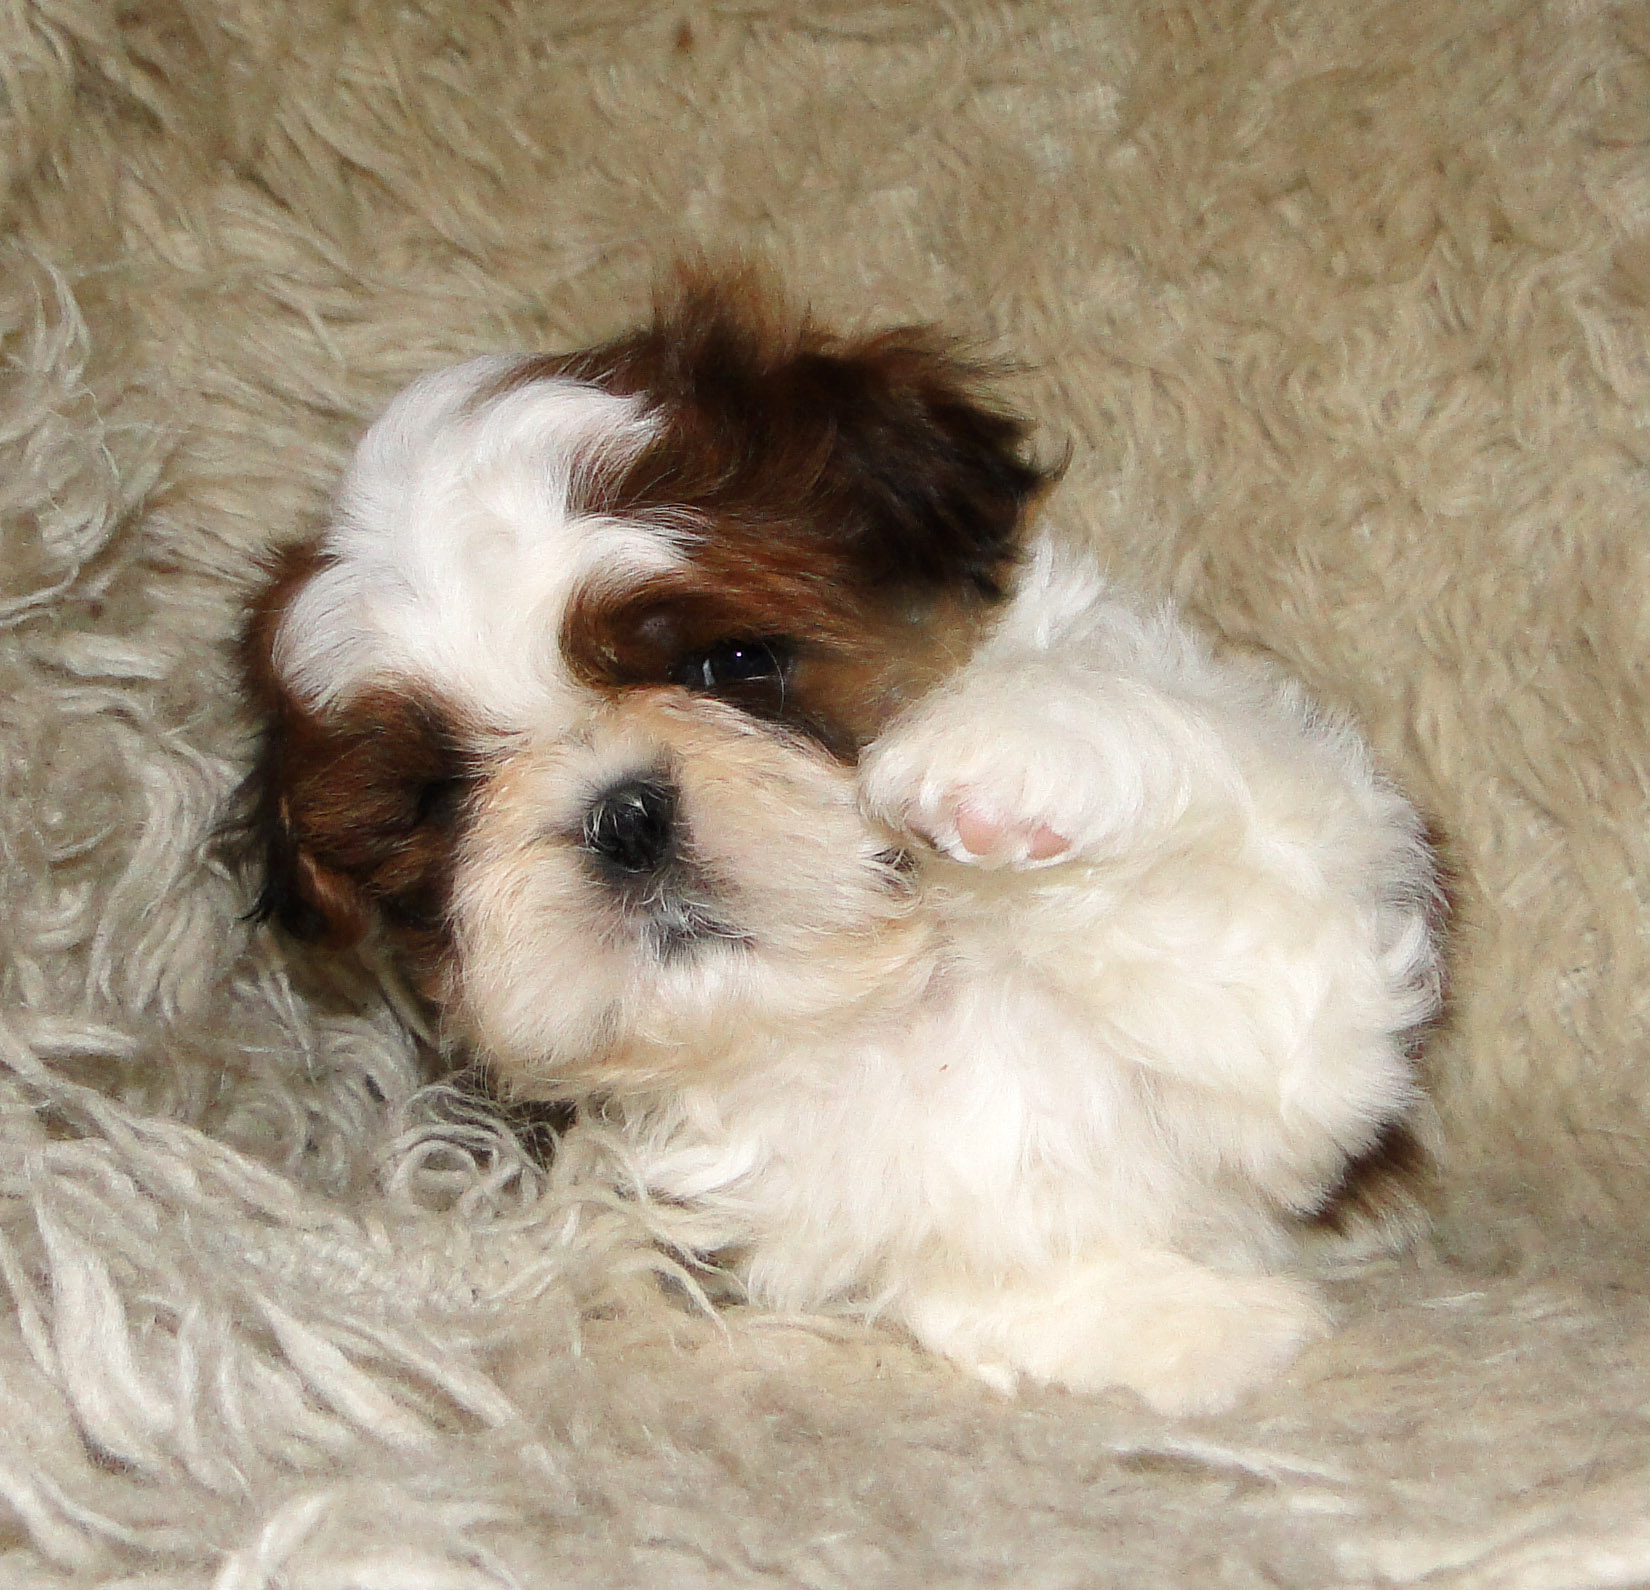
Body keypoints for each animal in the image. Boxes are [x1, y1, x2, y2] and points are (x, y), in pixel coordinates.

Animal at [241, 275, 1441, 1415]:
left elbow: (1242, 918)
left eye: (732, 663)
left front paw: (1008, 746)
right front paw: (1185, 1332)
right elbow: (993, 1274)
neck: (883, 1011)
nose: (621, 817)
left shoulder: (1307, 1023)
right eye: (443, 795)